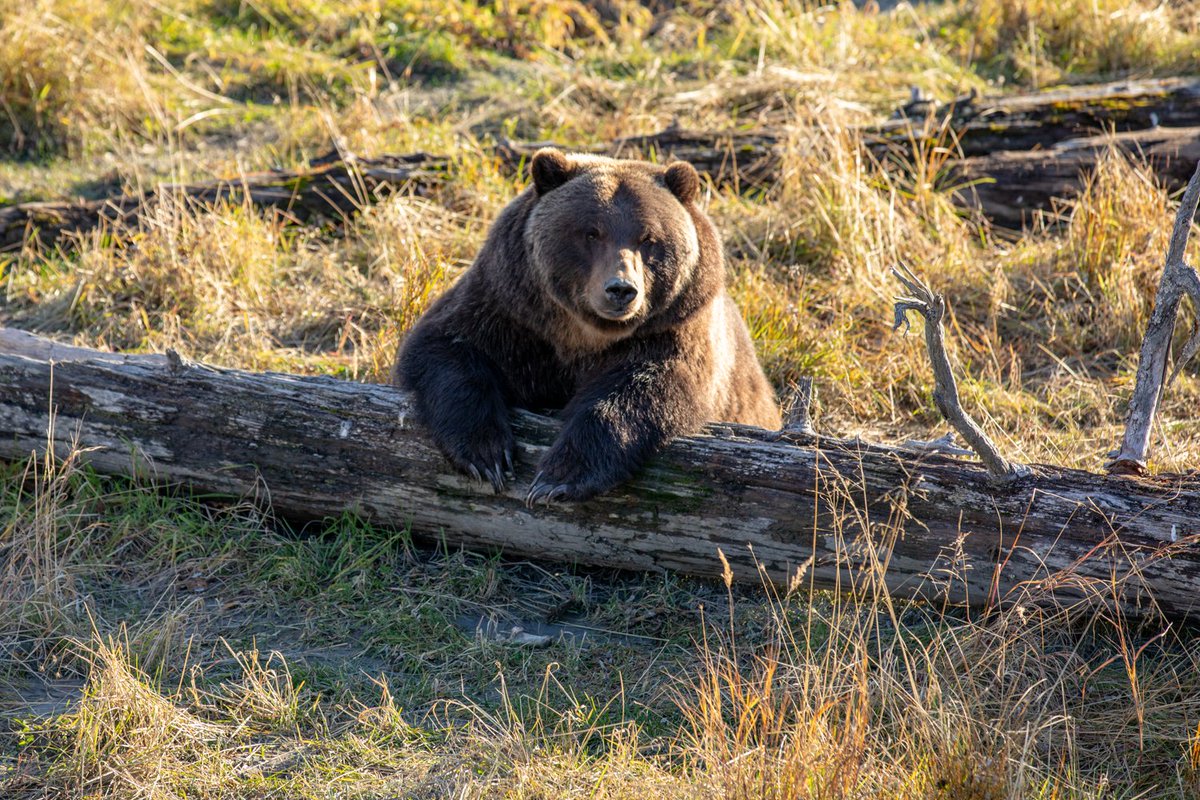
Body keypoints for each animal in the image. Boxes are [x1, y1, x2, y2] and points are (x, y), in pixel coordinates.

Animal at [392, 148, 781, 504]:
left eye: (648, 238)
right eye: (591, 233)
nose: (621, 289)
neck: (584, 335)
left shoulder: (675, 330)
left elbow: (647, 390)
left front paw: (558, 477)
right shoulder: (510, 310)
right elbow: (445, 348)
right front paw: (487, 456)